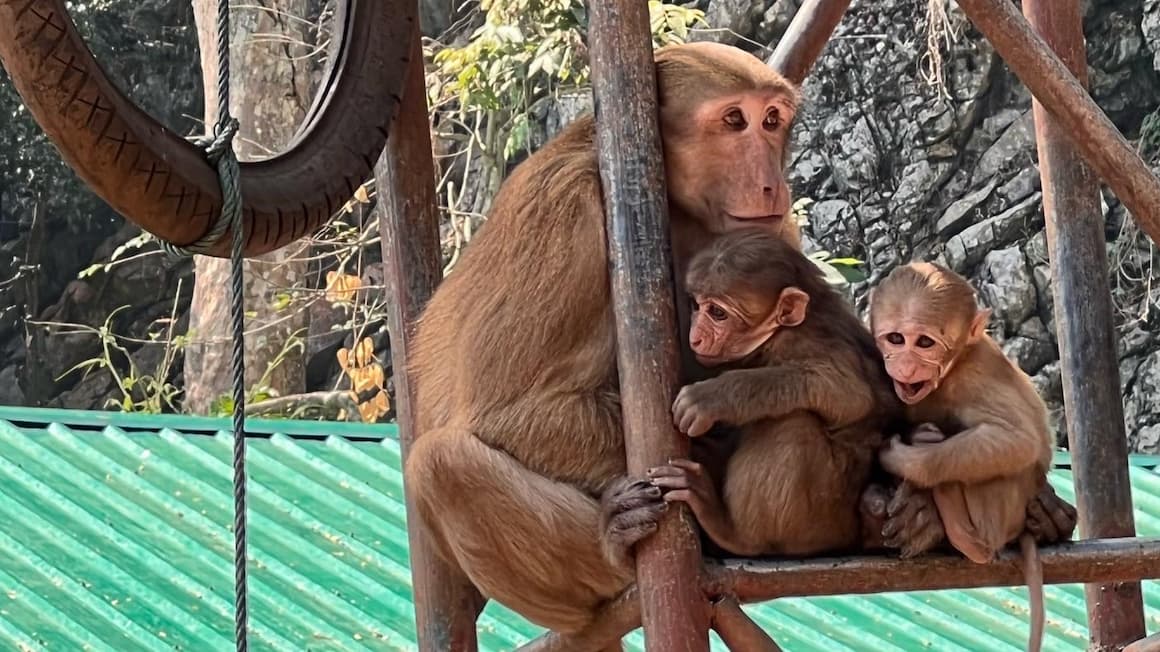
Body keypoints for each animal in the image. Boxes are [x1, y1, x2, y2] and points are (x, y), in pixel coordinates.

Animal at [403, 43, 802, 635]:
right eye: (735, 120)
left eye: (771, 120)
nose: (773, 182)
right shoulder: (564, 210)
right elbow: (502, 411)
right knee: (439, 464)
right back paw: (613, 543)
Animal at [649, 226, 900, 556]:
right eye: (696, 305)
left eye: (717, 313)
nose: (696, 337)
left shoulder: (804, 341)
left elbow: (849, 394)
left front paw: (711, 397)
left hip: (821, 525)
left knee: (792, 423)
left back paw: (733, 531)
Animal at [872, 259, 1053, 649]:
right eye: (896, 339)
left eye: (925, 343)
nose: (905, 366)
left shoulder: (974, 376)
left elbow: (1017, 440)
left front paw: (905, 461)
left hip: (1002, 509)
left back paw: (964, 531)